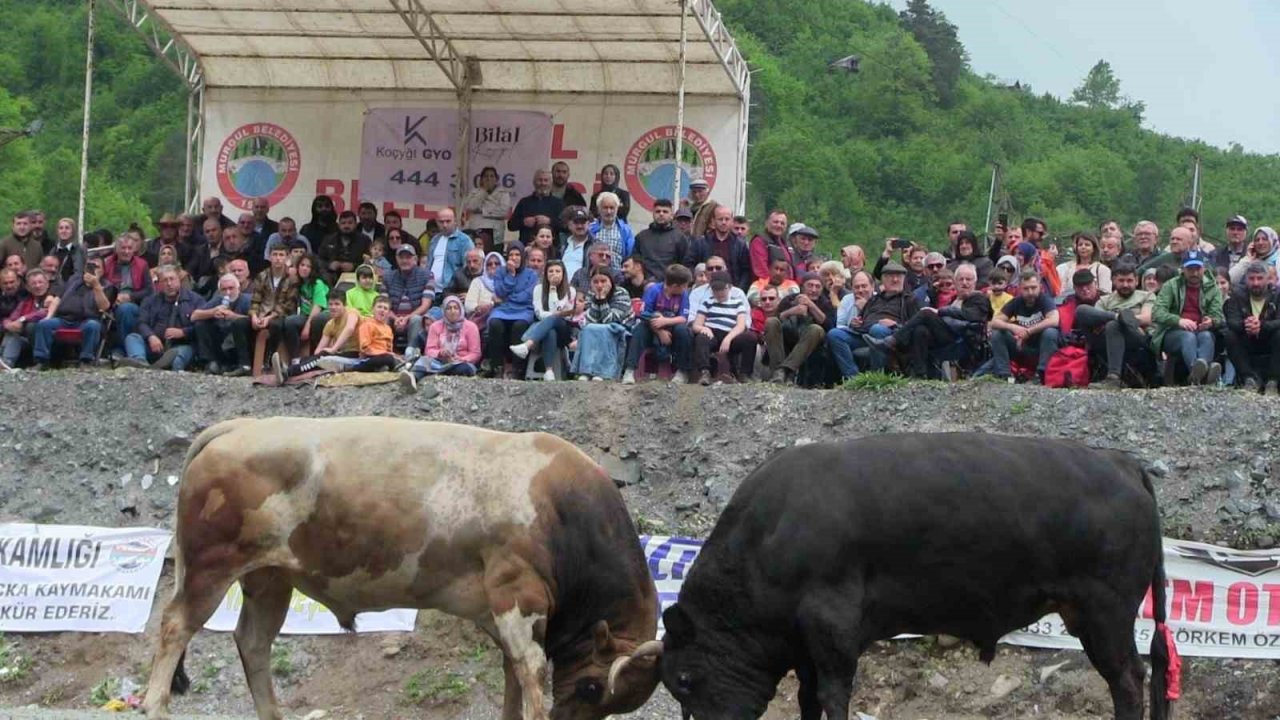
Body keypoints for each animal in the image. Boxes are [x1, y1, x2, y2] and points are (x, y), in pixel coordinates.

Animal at [142, 415, 660, 717]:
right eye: (592, 688)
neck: (560, 507)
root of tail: (237, 427)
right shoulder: (518, 596)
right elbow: (531, 673)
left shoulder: (500, 615)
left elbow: (513, 676)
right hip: (211, 567)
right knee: (174, 627)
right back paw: (155, 706)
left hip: (269, 578)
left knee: (252, 643)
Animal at [665, 430, 1172, 717]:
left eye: (685, 678)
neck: (768, 534)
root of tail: (1121, 462)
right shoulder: (804, 643)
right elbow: (809, 698)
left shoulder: (831, 628)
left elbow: (832, 694)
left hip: (1104, 616)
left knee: (1129, 681)